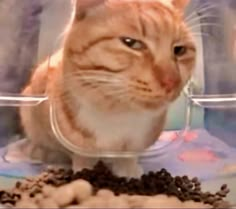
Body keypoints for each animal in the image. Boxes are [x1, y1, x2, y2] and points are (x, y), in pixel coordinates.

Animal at [17, 0, 195, 176]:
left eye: (179, 50)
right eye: (131, 43)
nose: (172, 81)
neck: (116, 113)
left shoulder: (134, 145)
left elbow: (127, 158)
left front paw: (129, 171)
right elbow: (81, 158)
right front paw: (82, 171)